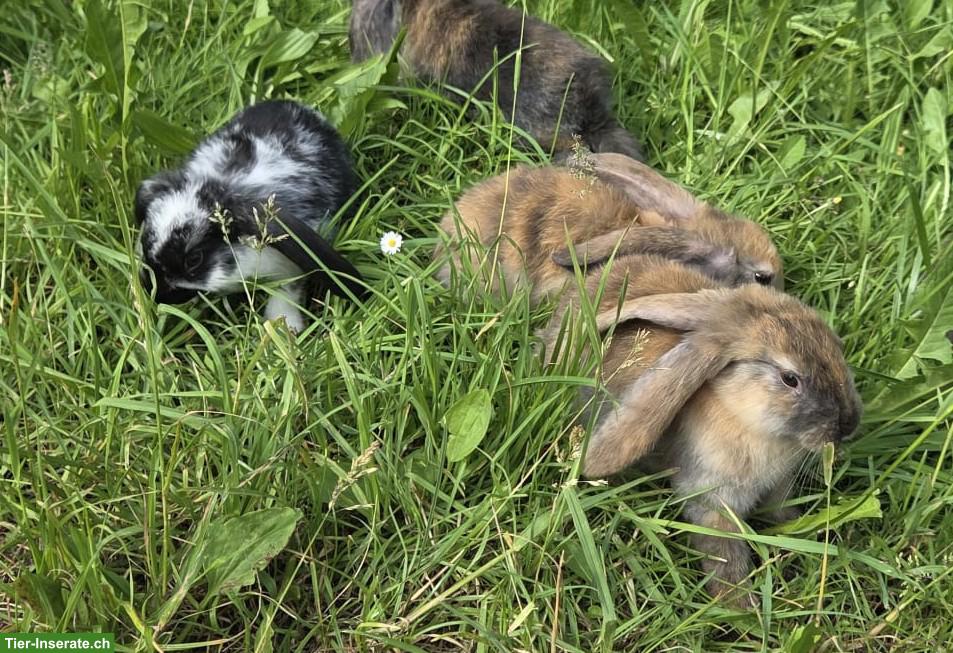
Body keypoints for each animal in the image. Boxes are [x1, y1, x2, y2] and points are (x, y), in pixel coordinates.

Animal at [539, 254, 862, 605]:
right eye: (790, 378)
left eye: (837, 348)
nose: (849, 425)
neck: (741, 416)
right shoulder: (711, 503)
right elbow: (725, 557)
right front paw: (740, 607)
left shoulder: (776, 486)